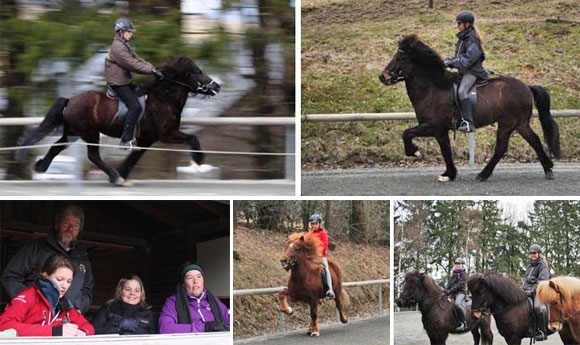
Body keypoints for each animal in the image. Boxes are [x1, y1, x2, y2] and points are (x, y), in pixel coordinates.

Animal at [16, 54, 220, 185]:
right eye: (197, 71)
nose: (216, 86)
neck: (165, 98)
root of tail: (70, 100)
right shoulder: (161, 135)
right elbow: (137, 156)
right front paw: (199, 159)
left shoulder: (157, 136)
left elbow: (137, 156)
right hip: (90, 133)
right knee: (93, 156)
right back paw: (114, 176)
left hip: (73, 133)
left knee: (56, 147)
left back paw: (40, 167)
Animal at [378, 33, 560, 181]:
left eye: (400, 58)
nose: (382, 77)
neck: (433, 88)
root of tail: (527, 87)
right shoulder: (440, 131)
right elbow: (446, 151)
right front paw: (449, 174)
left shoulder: (433, 125)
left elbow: (407, 133)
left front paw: (414, 151)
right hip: (520, 124)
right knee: (534, 140)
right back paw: (548, 169)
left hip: (507, 124)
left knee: (502, 148)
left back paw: (483, 174)